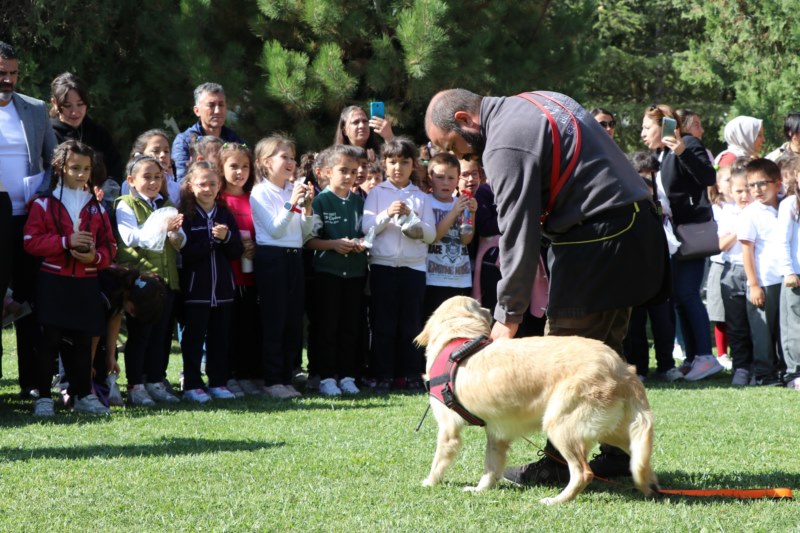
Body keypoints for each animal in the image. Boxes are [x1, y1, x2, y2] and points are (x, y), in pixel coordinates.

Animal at [412, 296, 656, 502]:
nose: (492, 309)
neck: (458, 339)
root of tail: (622, 369)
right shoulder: (497, 432)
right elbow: (491, 466)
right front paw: (481, 489)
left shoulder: (448, 429)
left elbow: (438, 462)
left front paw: (429, 482)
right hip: (614, 430)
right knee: (640, 460)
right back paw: (651, 486)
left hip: (561, 425)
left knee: (583, 473)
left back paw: (557, 500)